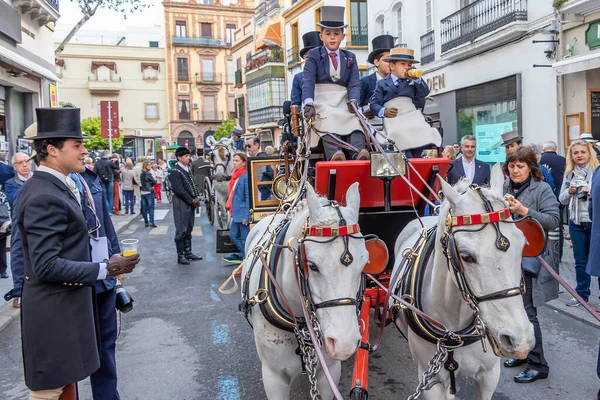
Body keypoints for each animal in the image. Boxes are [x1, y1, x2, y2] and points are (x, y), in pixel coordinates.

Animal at [394, 164, 536, 398]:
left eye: (523, 244)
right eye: (466, 256)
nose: (520, 341)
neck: (454, 329)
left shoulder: (490, 376)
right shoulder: (430, 380)